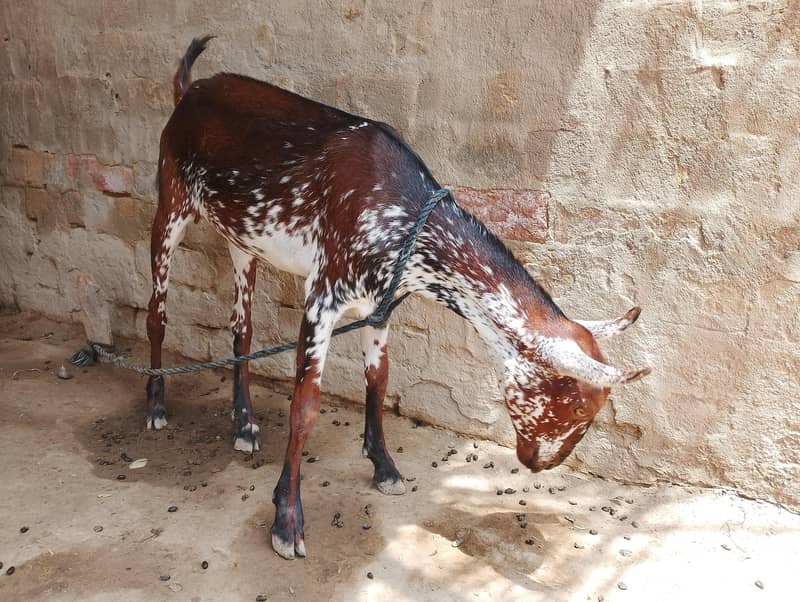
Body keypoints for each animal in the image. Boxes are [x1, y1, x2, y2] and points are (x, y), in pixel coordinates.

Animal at [146, 36, 651, 559]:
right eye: (578, 408)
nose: (541, 463)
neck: (404, 217)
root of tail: (189, 90)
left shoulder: (378, 306)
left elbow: (379, 380)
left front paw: (384, 467)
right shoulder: (323, 296)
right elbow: (305, 404)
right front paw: (287, 520)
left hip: (242, 242)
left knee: (241, 329)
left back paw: (243, 425)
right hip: (171, 201)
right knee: (156, 312)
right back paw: (156, 406)